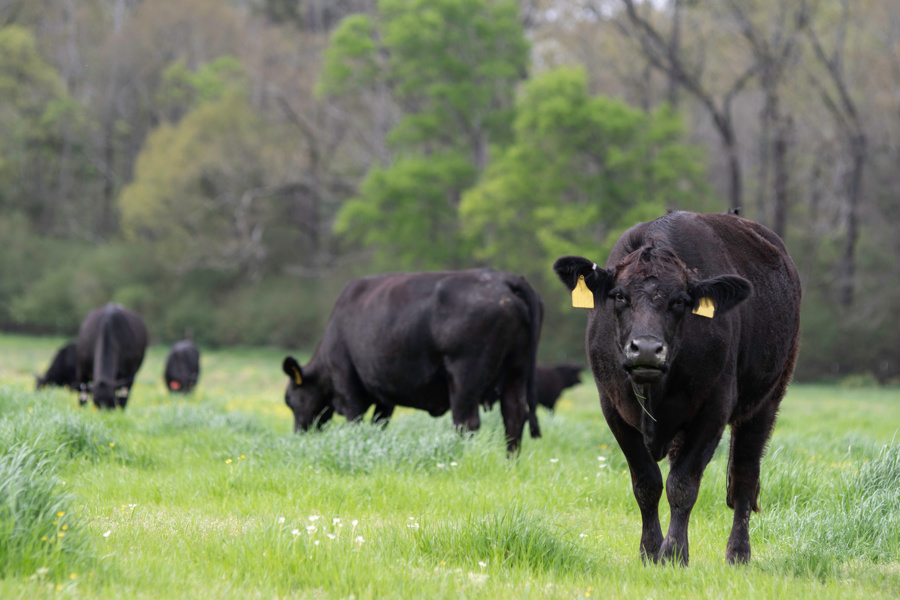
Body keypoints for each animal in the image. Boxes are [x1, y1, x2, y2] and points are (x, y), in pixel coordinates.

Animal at [282, 270, 540, 452]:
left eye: (291, 401)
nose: (298, 434)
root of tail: (505, 279)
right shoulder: (384, 397)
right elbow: (378, 425)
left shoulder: (348, 386)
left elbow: (356, 422)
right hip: (517, 372)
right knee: (514, 417)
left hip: (465, 378)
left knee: (466, 422)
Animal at [556, 212, 800, 568]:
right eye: (619, 295)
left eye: (680, 301)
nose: (646, 349)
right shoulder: (613, 409)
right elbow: (647, 483)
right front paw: (649, 550)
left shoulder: (712, 410)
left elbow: (682, 485)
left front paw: (673, 554)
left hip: (766, 401)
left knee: (744, 475)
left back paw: (738, 553)